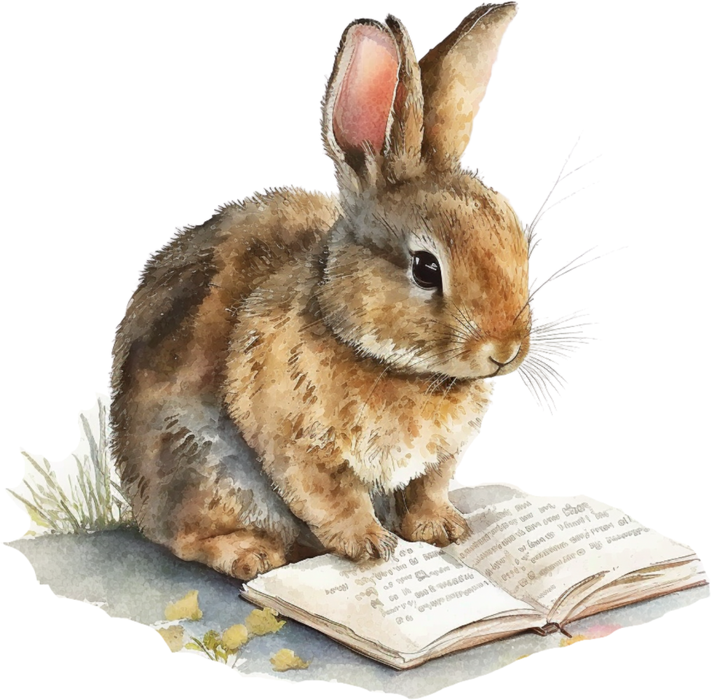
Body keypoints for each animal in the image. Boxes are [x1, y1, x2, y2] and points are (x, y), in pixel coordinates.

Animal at [110, 2, 531, 581]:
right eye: (426, 268)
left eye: (519, 240)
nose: (506, 350)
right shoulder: (299, 448)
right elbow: (334, 500)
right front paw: (370, 546)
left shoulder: (436, 462)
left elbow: (426, 490)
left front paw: (443, 530)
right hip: (203, 466)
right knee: (185, 536)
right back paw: (252, 556)